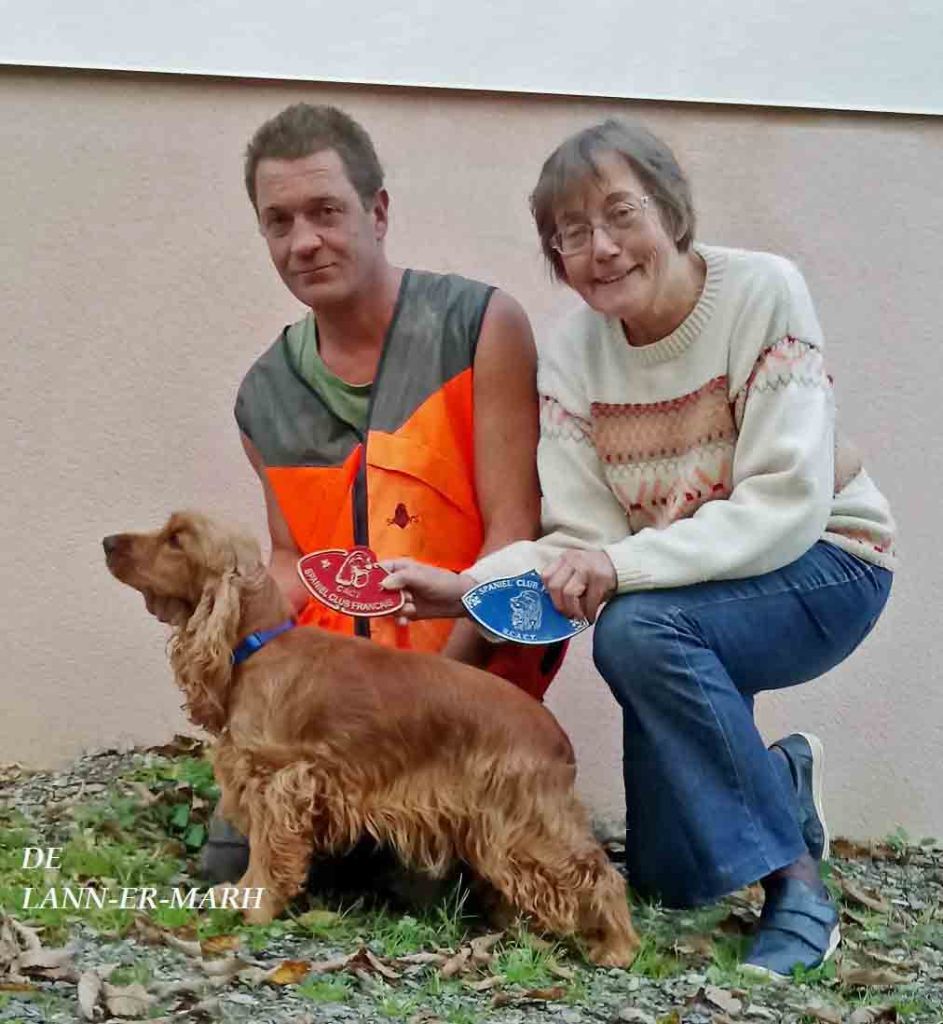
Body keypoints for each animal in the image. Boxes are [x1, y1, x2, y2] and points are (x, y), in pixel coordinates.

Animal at [101, 512, 638, 966]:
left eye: (176, 539)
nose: (107, 542)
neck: (260, 645)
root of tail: (556, 735)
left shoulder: (278, 780)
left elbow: (270, 850)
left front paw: (250, 900)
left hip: (527, 821)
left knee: (598, 872)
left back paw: (617, 946)